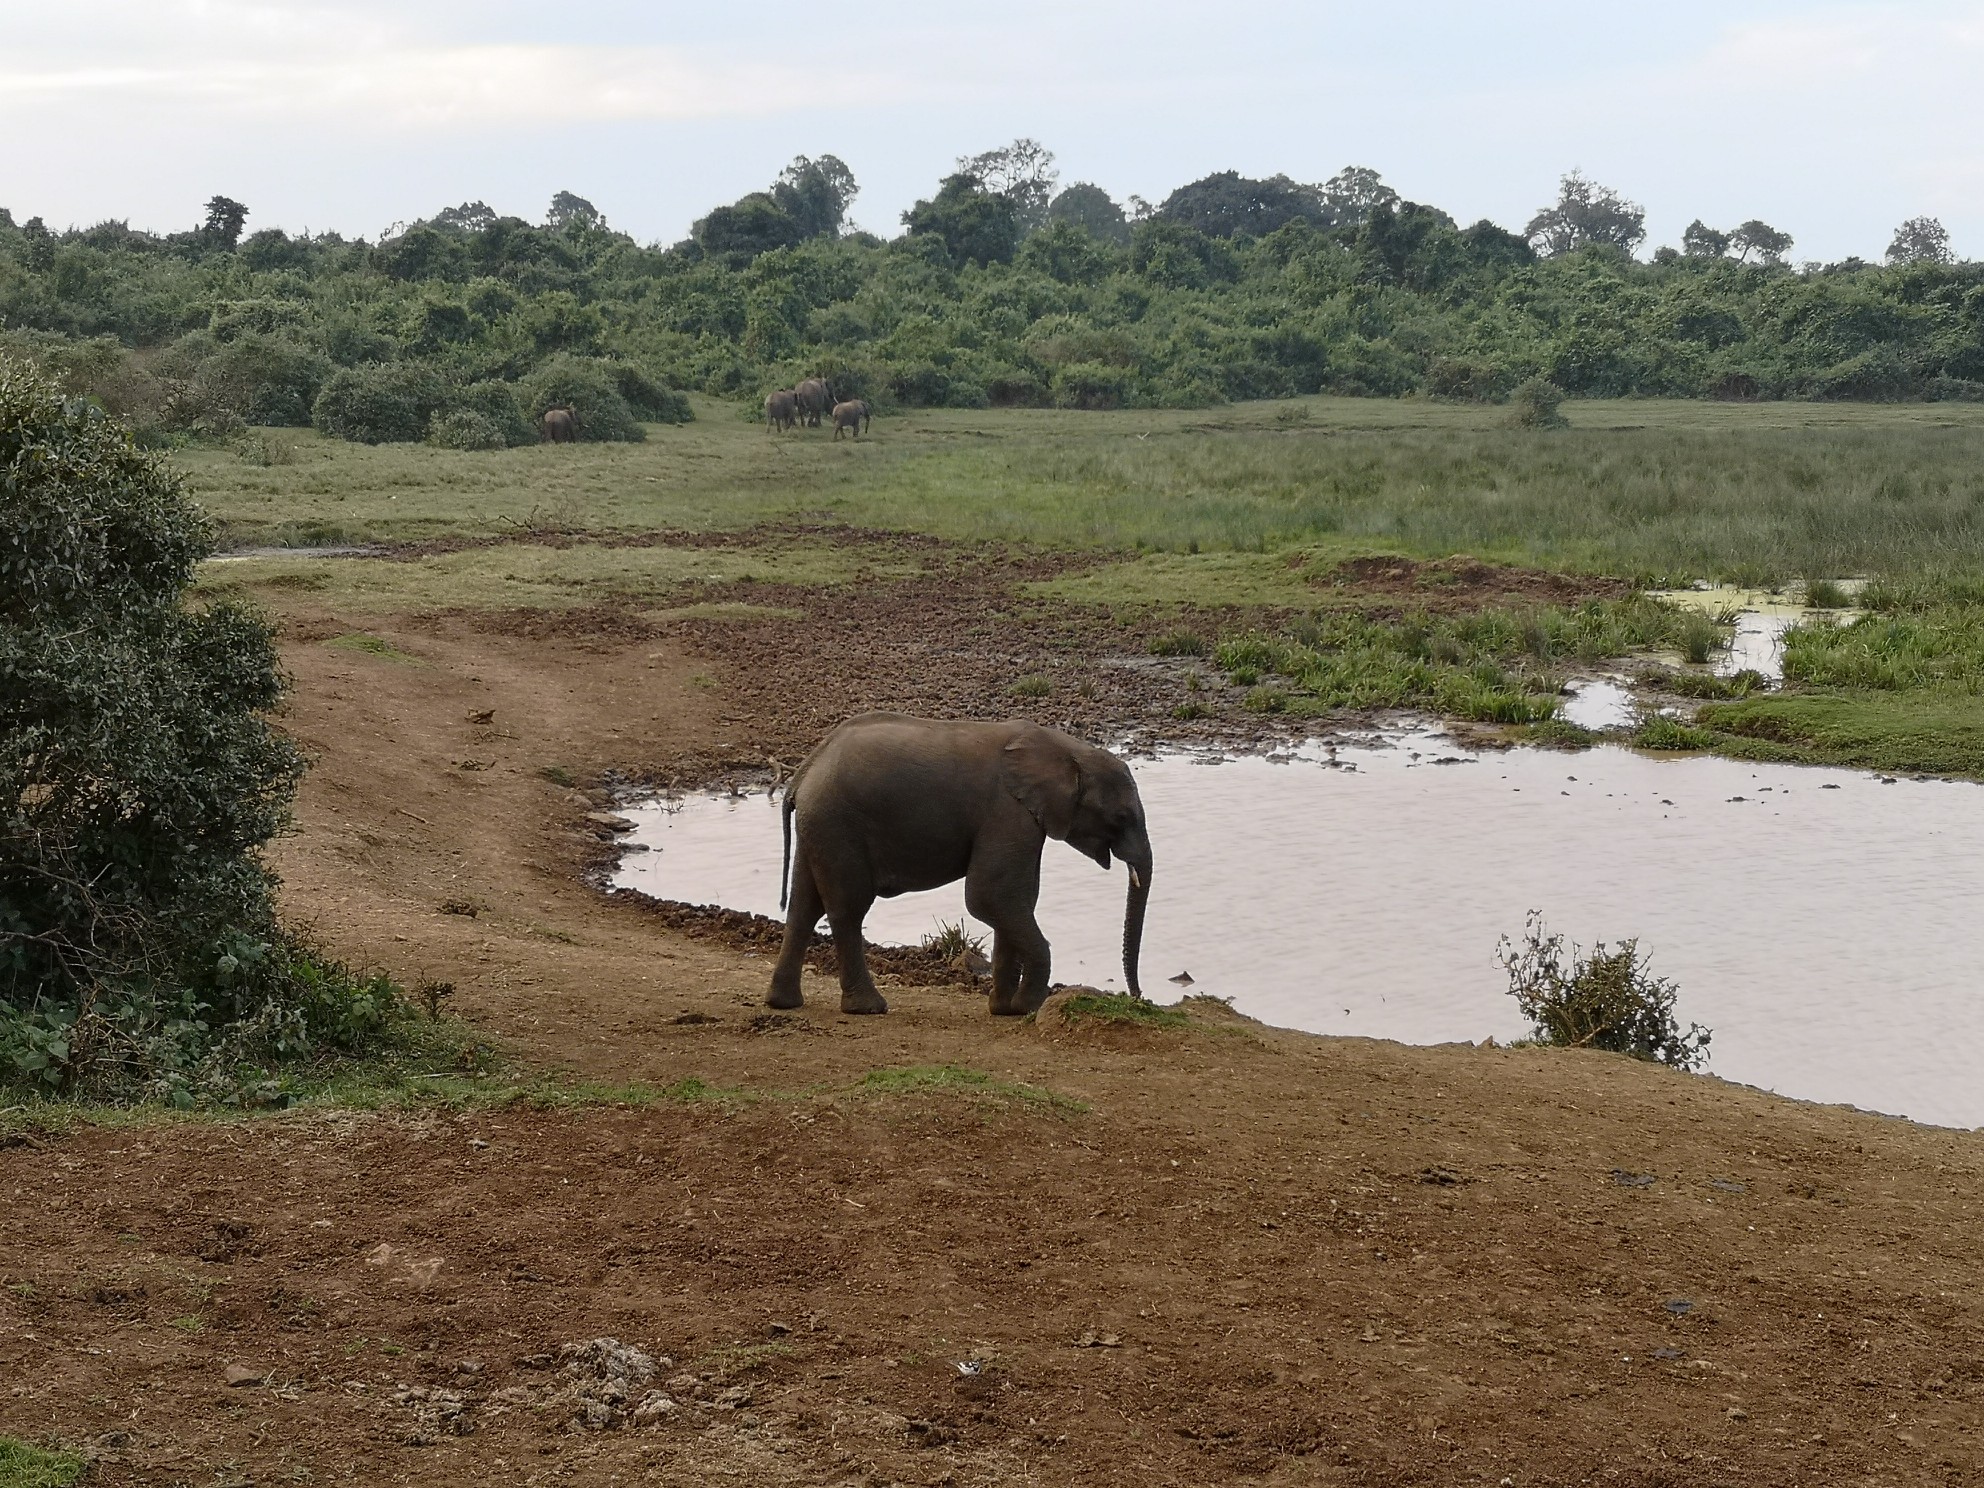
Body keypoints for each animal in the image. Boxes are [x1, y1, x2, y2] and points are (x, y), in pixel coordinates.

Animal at [765, 714, 1158, 1023]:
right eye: (1122, 818)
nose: (1140, 998)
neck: (1068, 750)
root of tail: (802, 772)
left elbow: (1016, 900)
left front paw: (1004, 1010)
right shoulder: (1008, 812)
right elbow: (990, 896)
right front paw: (1028, 1008)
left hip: (819, 825)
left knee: (804, 906)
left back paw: (784, 1003)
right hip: (838, 823)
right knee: (848, 908)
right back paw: (869, 1008)